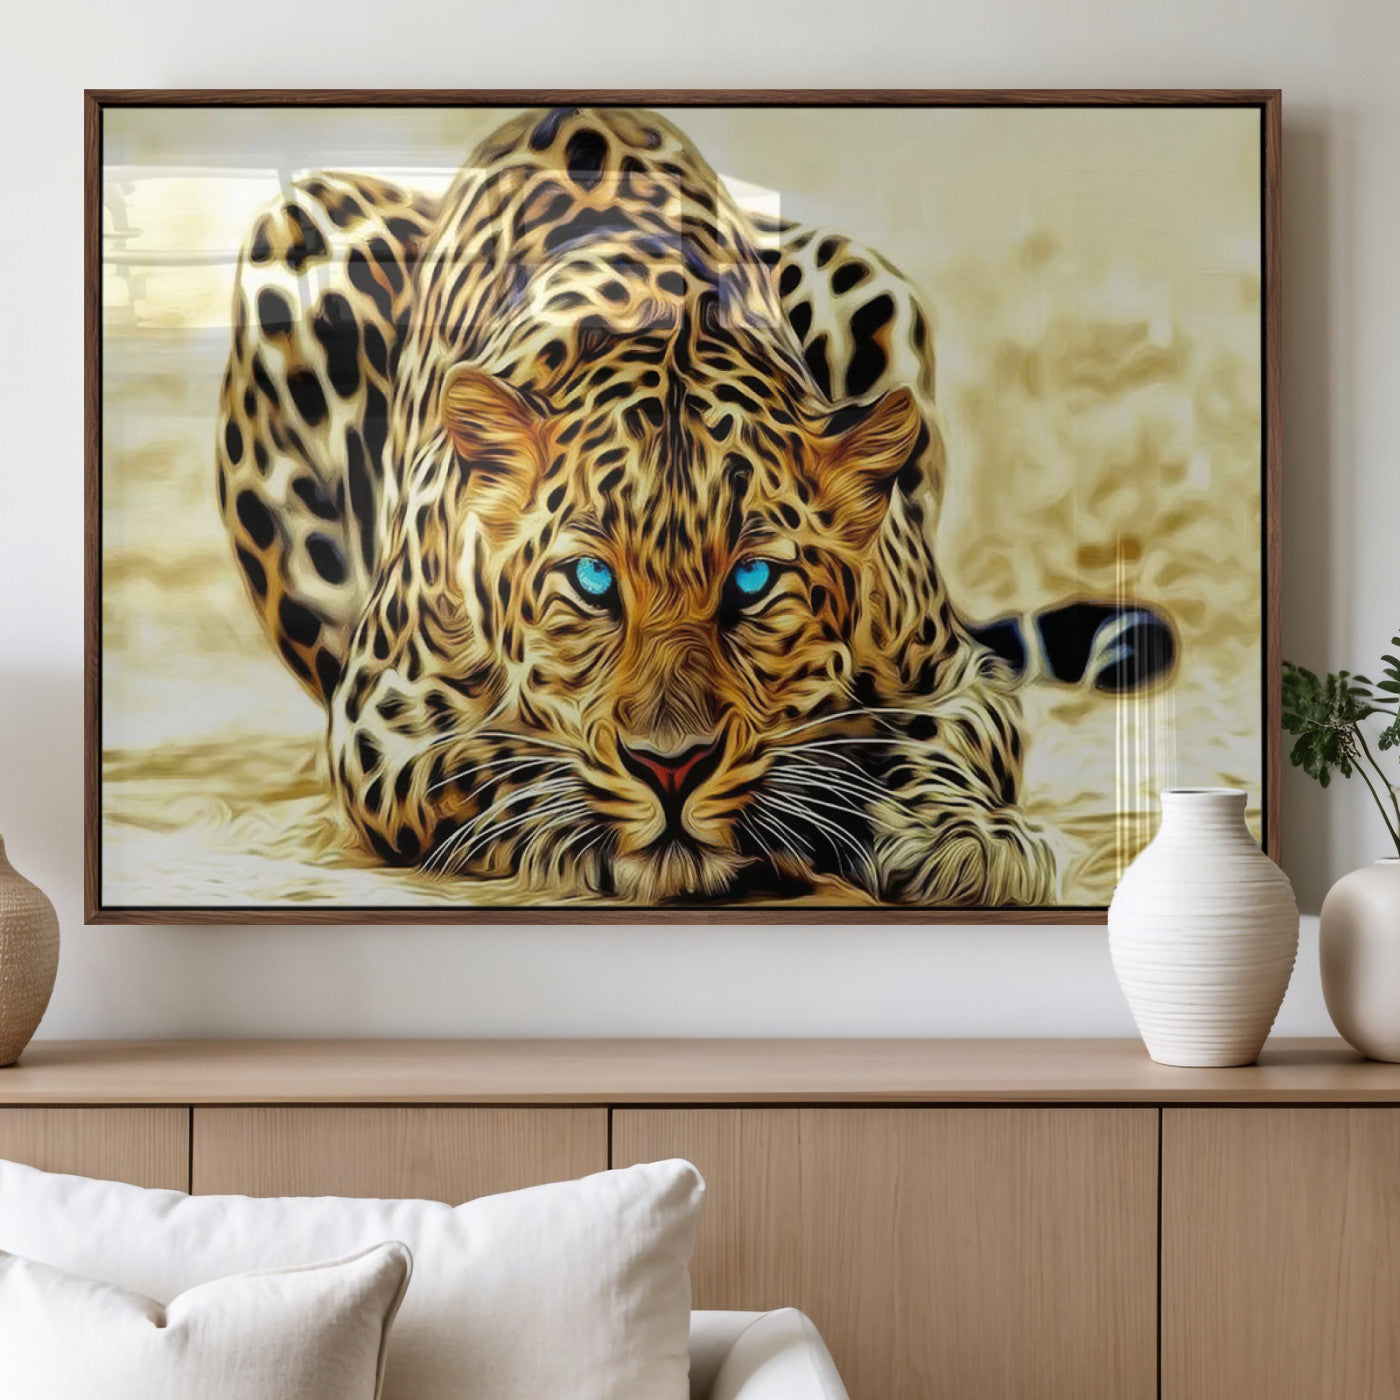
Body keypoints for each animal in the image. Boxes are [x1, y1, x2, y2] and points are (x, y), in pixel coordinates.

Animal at [215, 105, 1175, 907]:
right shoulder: (383, 721)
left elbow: (939, 741)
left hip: (860, 273)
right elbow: (495, 759)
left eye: (752, 582)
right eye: (593, 581)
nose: (671, 769)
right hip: (298, 238)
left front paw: (964, 838)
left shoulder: (955, 674)